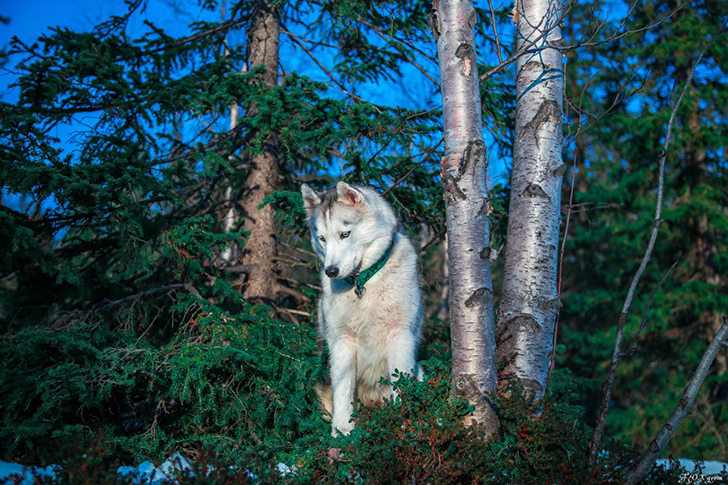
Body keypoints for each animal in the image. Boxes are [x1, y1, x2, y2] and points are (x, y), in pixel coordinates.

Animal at [302, 182, 426, 434]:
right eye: (322, 239)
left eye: (345, 234)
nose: (331, 271)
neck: (364, 282)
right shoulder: (343, 341)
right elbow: (343, 392)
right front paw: (342, 432)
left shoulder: (400, 335)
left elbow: (401, 385)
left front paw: (405, 425)